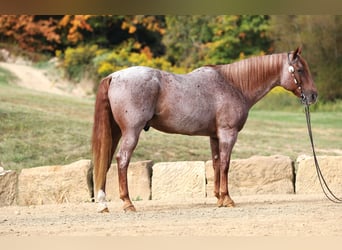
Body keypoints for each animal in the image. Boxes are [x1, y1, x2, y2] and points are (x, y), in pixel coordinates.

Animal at [91, 46, 318, 212]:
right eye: (300, 70)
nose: (313, 95)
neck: (234, 85)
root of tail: (114, 76)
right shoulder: (228, 134)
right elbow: (225, 164)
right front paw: (228, 199)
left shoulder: (214, 136)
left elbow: (216, 163)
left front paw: (219, 198)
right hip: (131, 132)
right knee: (122, 160)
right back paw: (128, 203)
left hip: (116, 132)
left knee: (107, 160)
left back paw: (103, 203)